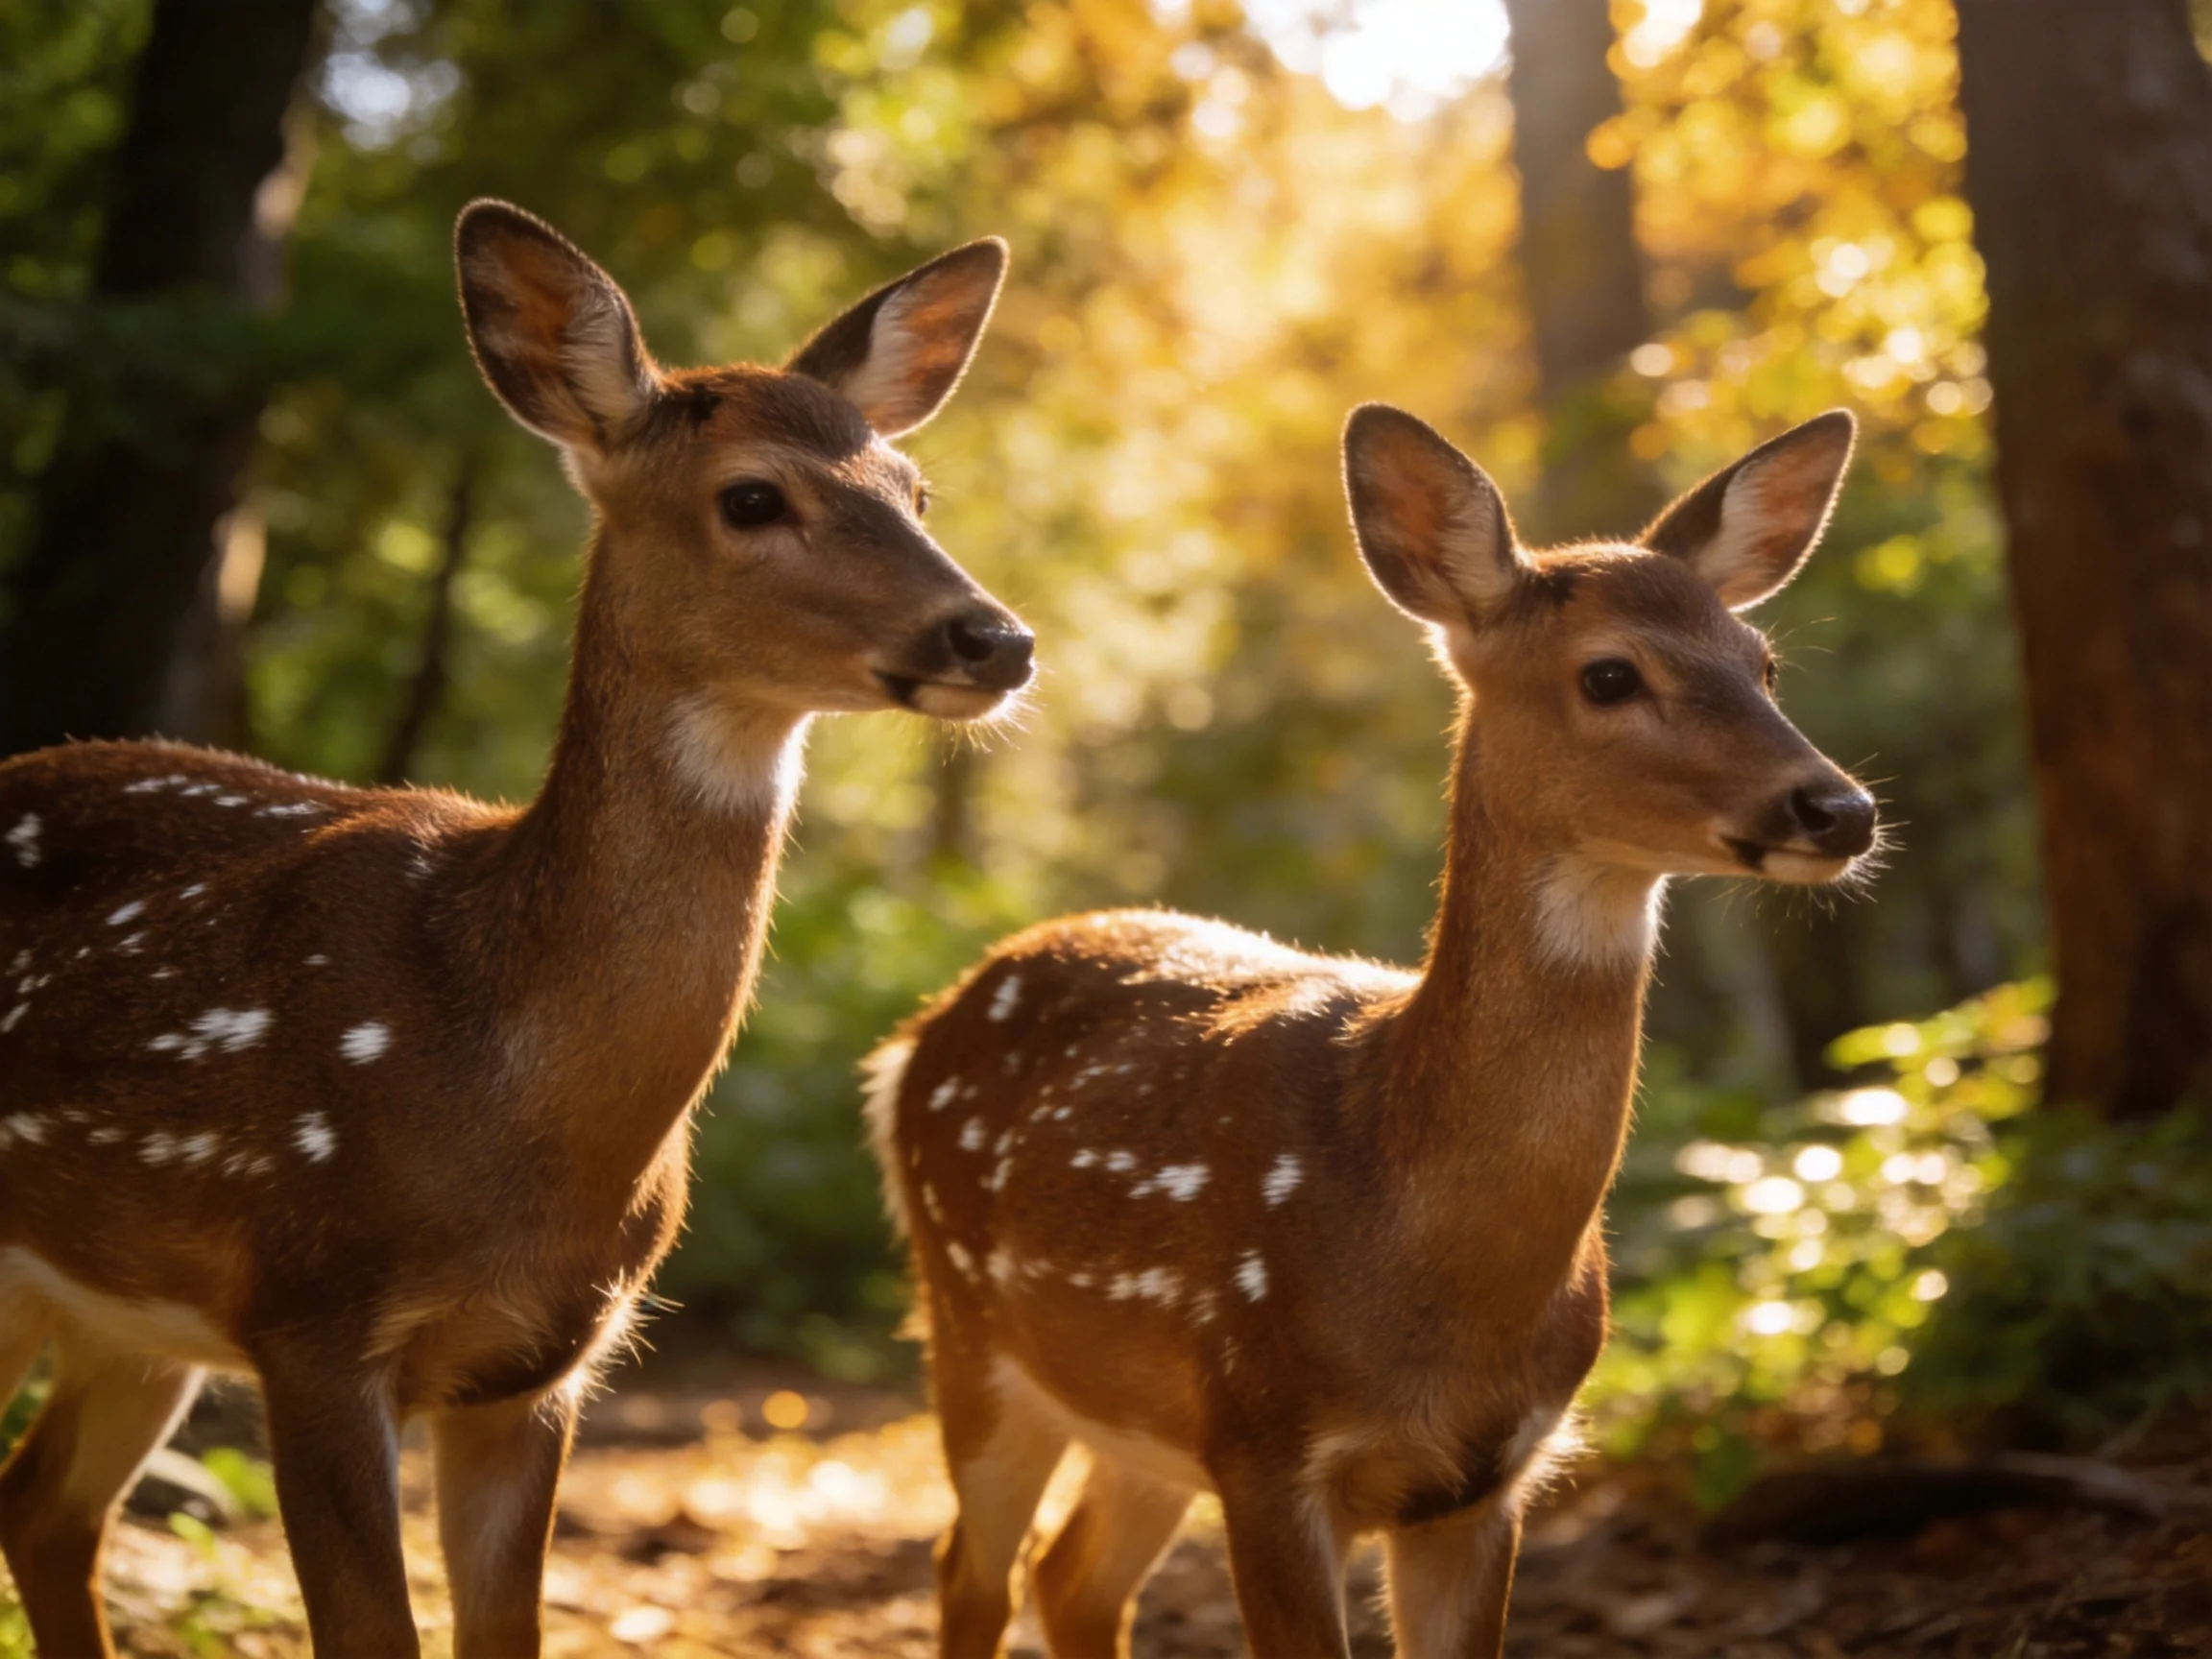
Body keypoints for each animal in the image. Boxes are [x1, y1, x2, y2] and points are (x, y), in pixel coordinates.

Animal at [0, 200, 1033, 1657]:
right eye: (753, 496)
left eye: (917, 491)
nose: (995, 640)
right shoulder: (312, 1317)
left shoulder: (540, 1365)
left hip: (120, 1312)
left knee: (43, 1507)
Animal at [866, 404, 1877, 1658]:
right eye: (1608, 673)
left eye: (1763, 663)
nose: (1839, 808)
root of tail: (907, 1044)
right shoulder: (1265, 1446)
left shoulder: (1487, 1478)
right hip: (970, 1329)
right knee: (972, 1568)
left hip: (1134, 1417)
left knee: (1073, 1576)